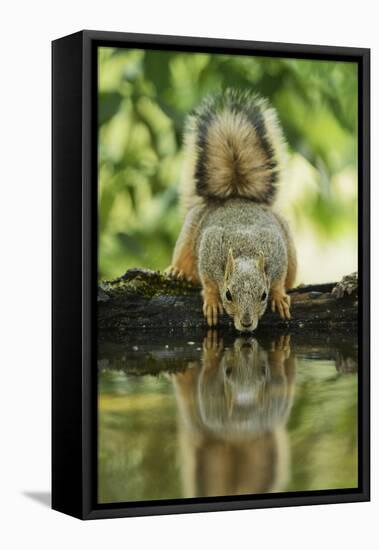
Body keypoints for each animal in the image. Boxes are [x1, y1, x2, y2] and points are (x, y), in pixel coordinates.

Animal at [166, 89, 296, 332]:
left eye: (263, 295)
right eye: (228, 294)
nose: (246, 323)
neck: (245, 249)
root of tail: (235, 196)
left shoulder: (277, 250)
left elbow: (278, 280)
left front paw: (279, 297)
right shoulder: (209, 248)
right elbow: (208, 282)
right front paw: (211, 302)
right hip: (189, 232)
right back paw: (178, 271)